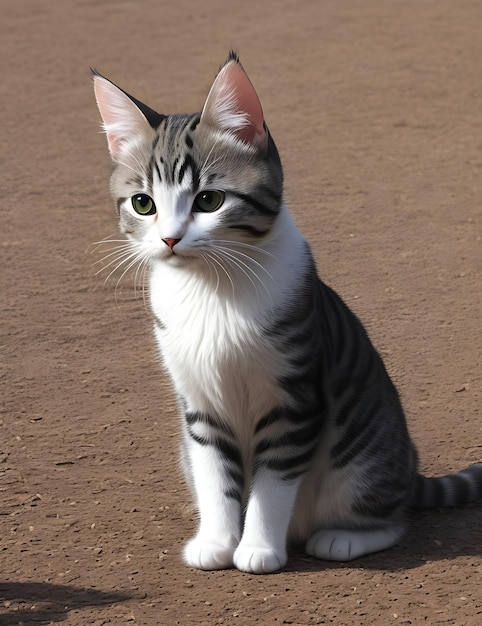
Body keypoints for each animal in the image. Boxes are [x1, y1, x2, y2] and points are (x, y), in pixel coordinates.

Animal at [92, 51, 480, 572]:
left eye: (209, 200)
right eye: (143, 203)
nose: (170, 239)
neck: (212, 290)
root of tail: (411, 469)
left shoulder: (294, 401)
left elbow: (272, 486)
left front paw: (257, 548)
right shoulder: (200, 407)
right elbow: (216, 479)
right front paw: (217, 542)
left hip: (361, 460)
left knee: (392, 519)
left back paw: (342, 538)